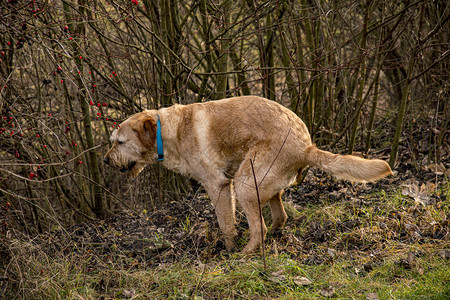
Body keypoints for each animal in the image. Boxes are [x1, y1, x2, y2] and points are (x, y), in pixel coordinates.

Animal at [103, 96, 392, 253]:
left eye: (119, 142)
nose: (105, 160)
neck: (168, 132)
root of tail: (306, 146)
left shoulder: (218, 185)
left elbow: (226, 224)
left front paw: (228, 250)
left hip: (245, 184)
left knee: (260, 227)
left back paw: (246, 253)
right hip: (257, 181)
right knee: (279, 217)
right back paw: (273, 234)